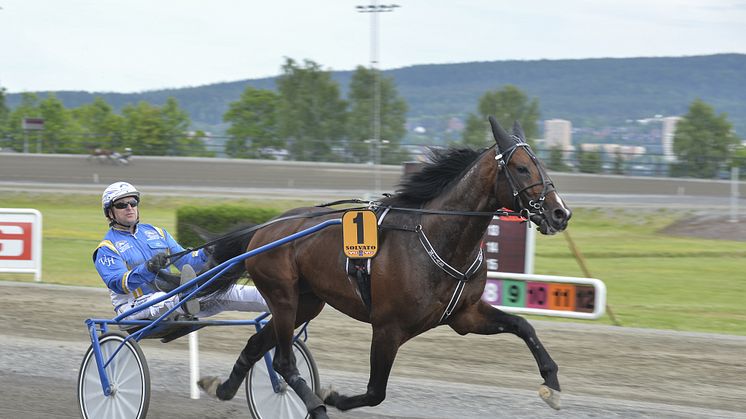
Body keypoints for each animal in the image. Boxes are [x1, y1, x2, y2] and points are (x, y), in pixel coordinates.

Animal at [196, 116, 568, 418]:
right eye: (521, 168)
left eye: (542, 164)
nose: (560, 213)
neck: (437, 240)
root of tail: (264, 229)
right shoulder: (388, 327)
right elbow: (376, 392)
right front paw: (332, 397)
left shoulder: (465, 315)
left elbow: (523, 326)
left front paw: (552, 383)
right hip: (283, 296)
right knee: (284, 361)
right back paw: (314, 403)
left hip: (306, 302)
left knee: (257, 345)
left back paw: (223, 387)